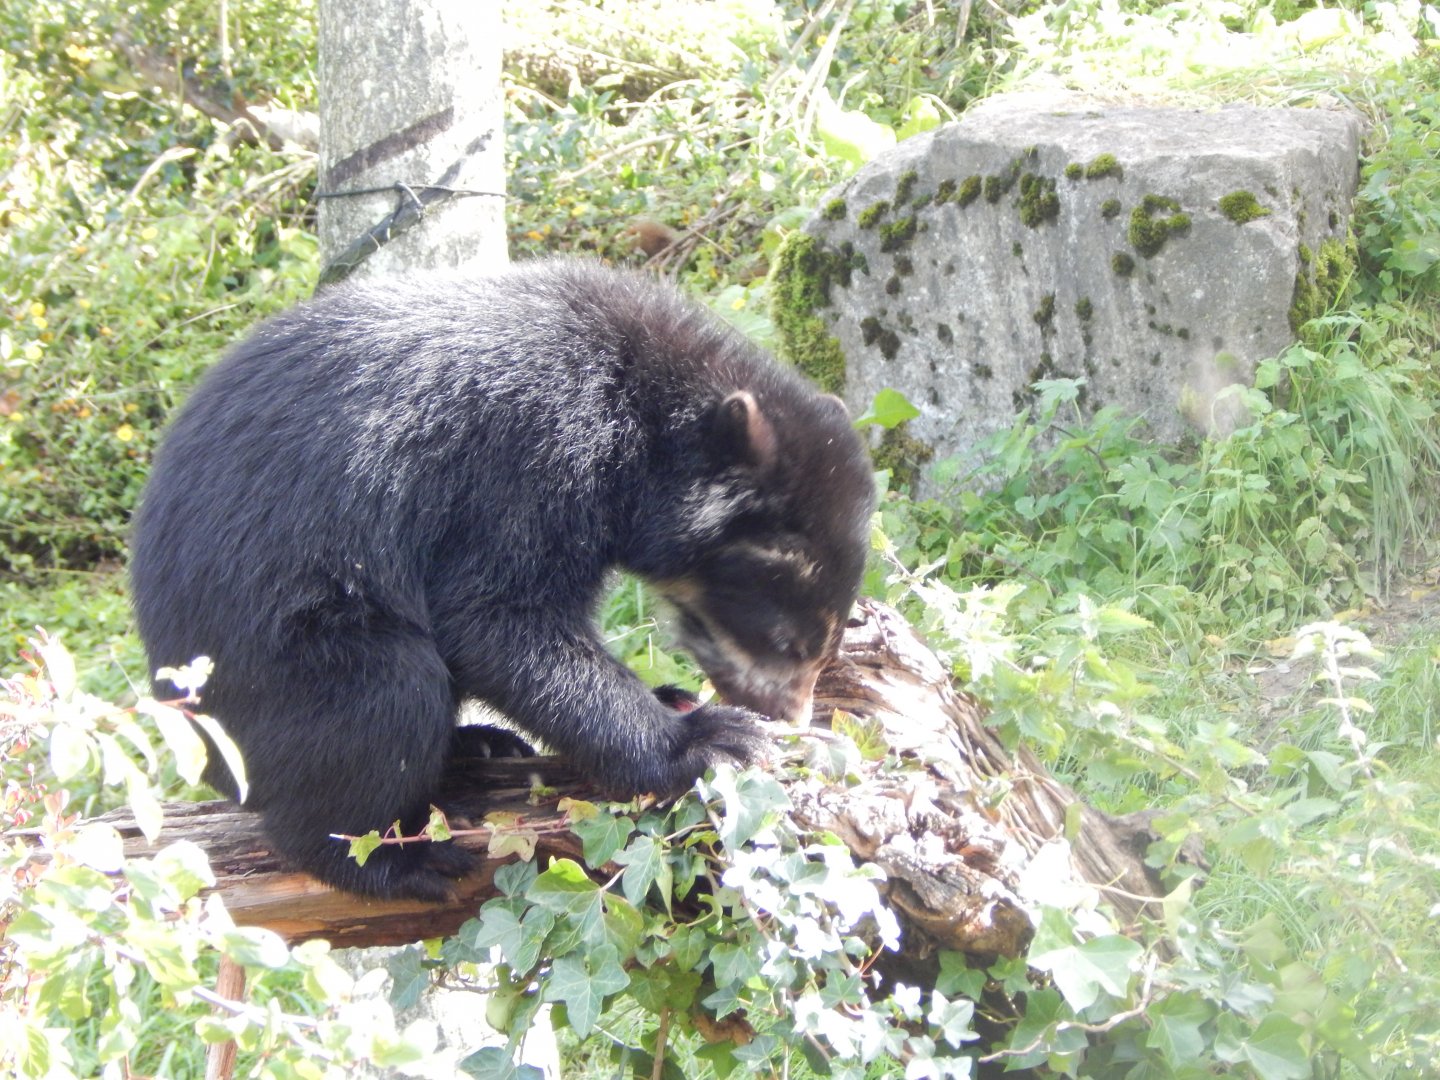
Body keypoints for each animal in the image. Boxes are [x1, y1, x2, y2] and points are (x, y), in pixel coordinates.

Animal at [129, 258, 875, 900]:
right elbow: (500, 619)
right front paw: (713, 737)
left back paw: (478, 744)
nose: (792, 717)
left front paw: (676, 696)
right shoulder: (531, 453)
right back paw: (399, 860)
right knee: (386, 697)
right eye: (789, 643)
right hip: (283, 666)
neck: (643, 420)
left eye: (825, 646)